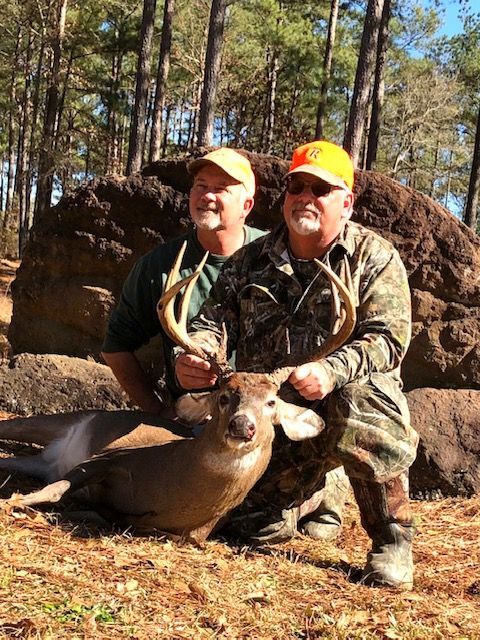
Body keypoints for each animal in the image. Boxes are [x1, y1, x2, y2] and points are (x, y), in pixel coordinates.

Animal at [0, 242, 356, 543]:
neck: (175, 481)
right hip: (66, 419)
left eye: (270, 403)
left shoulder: (189, 533)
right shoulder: (106, 458)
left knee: (14, 460)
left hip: (44, 458)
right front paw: (14, 502)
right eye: (224, 396)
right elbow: (59, 488)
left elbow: (112, 514)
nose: (243, 426)